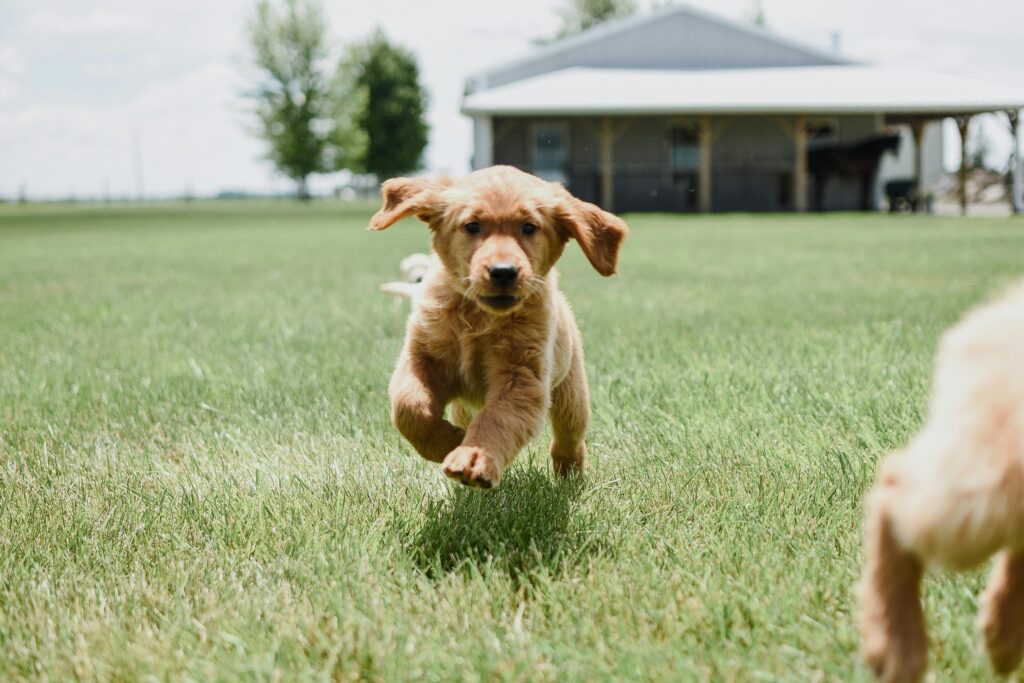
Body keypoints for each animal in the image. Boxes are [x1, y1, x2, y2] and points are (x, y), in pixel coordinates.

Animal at [368, 163, 622, 489]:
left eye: (529, 228)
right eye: (472, 226)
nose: (504, 272)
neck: (478, 316)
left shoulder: (522, 379)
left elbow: (497, 419)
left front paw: (474, 455)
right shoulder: (421, 357)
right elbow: (408, 406)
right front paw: (447, 442)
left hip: (571, 391)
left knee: (569, 438)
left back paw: (569, 477)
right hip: (464, 405)